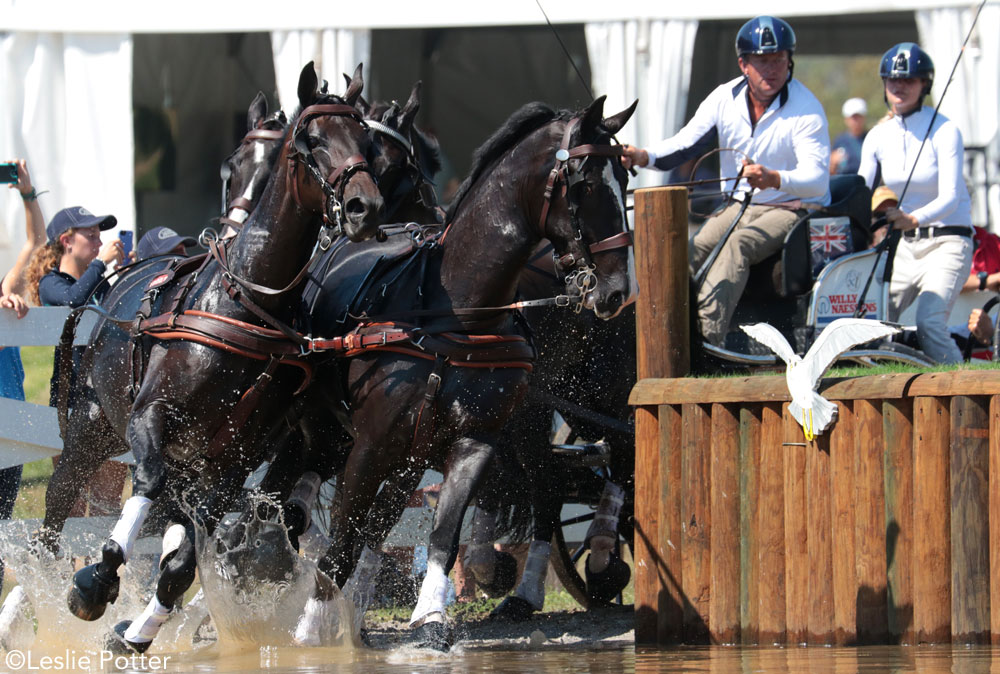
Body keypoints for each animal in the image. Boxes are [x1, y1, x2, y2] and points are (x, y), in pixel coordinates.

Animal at [63, 63, 382, 652]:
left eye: (365, 139)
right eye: (309, 142)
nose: (363, 207)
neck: (245, 301)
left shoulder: (233, 458)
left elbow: (183, 563)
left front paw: (139, 630)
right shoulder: (150, 417)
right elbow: (147, 483)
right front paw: (97, 579)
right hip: (91, 427)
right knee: (60, 504)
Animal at [296, 94, 636, 644]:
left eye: (623, 180)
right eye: (584, 183)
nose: (616, 288)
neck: (455, 310)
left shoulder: (474, 438)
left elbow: (442, 530)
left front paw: (431, 613)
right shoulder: (377, 444)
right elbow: (349, 536)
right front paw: (314, 629)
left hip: (594, 392)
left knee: (608, 459)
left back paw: (594, 559)